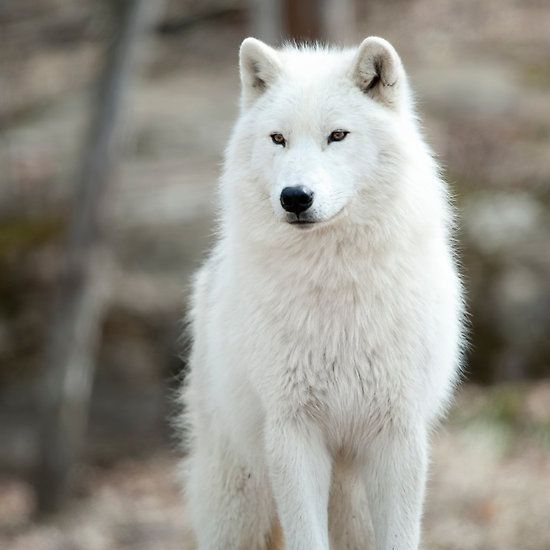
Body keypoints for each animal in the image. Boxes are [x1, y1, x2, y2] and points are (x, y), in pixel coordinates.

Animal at [182, 36, 466, 548]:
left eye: (337, 135)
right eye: (278, 139)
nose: (295, 196)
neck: (334, 288)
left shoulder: (398, 436)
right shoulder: (294, 433)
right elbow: (306, 536)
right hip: (240, 503)